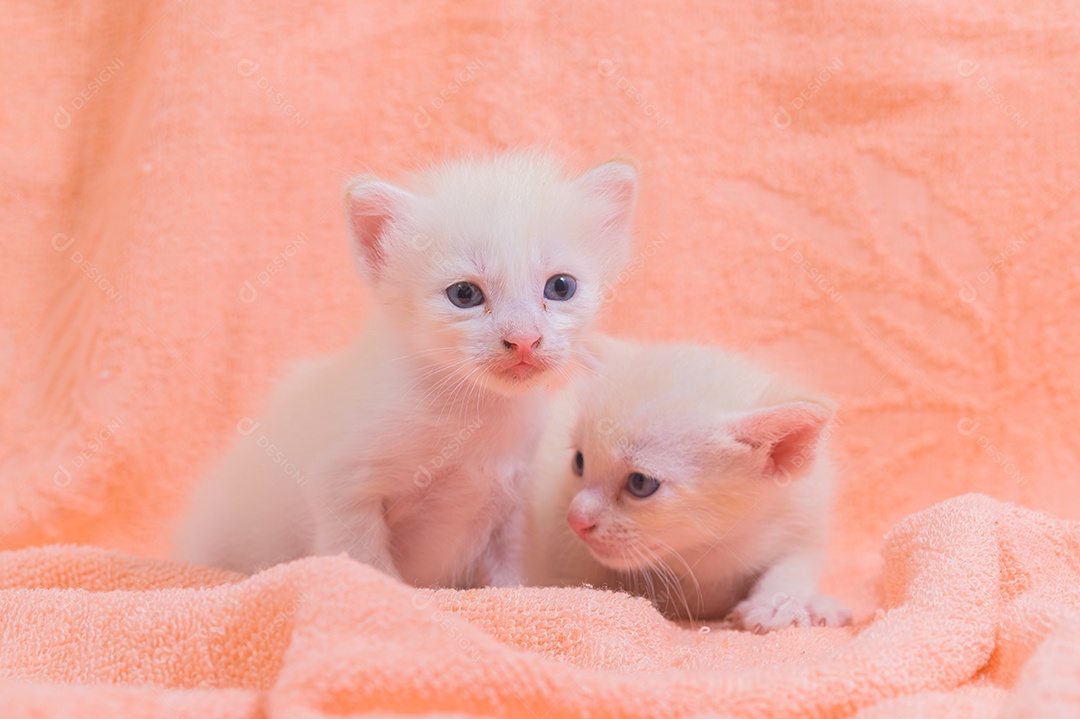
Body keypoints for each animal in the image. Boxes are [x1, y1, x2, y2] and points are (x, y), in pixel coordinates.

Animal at [172, 147, 635, 587]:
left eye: (560, 287)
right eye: (464, 294)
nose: (524, 339)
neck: (474, 413)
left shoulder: (514, 502)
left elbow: (514, 574)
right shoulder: (343, 488)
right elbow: (369, 565)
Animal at [529, 336, 851, 626]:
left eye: (640, 484)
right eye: (579, 462)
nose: (576, 520)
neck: (709, 551)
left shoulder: (804, 511)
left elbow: (796, 562)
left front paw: (780, 604)